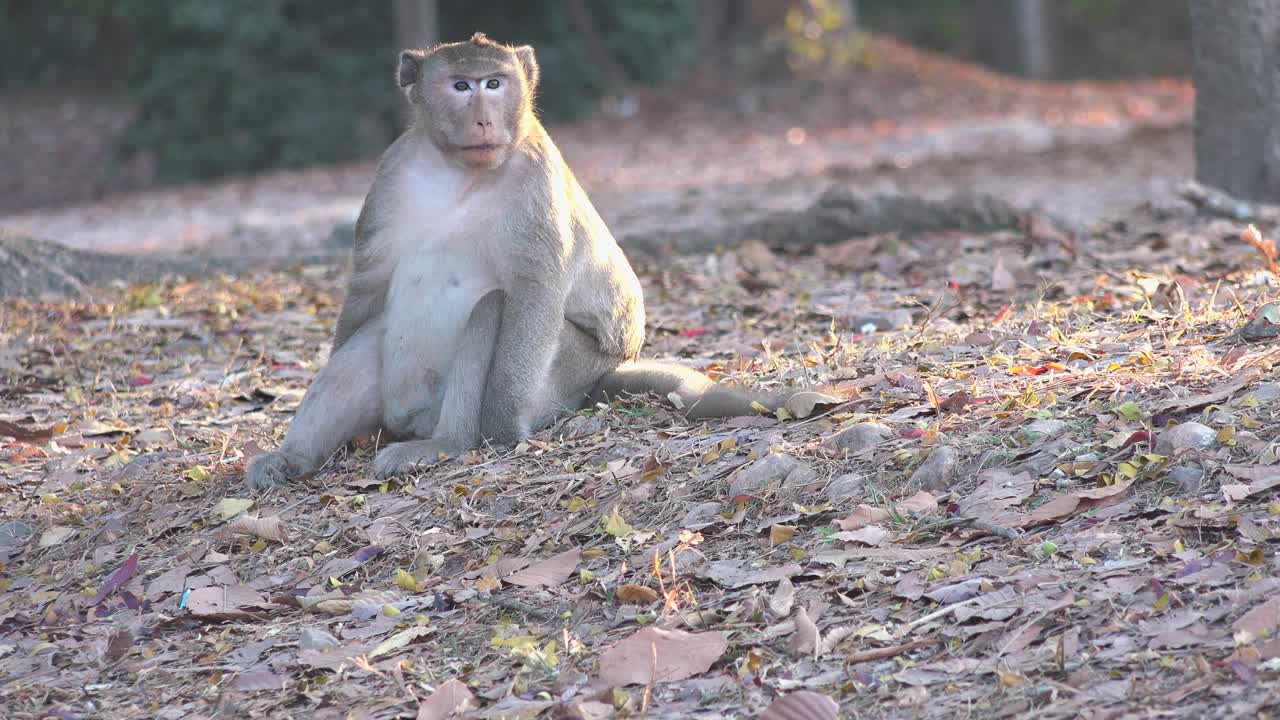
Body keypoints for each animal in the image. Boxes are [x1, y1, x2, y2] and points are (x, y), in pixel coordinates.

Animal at [245, 33, 806, 490]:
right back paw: (292, 459)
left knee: (493, 310)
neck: (460, 172)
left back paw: (446, 444)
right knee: (372, 336)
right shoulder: (390, 173)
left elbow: (534, 291)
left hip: (563, 374)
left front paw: (502, 432)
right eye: (461, 86)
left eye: (494, 84)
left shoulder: (534, 179)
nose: (483, 116)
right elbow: (369, 286)